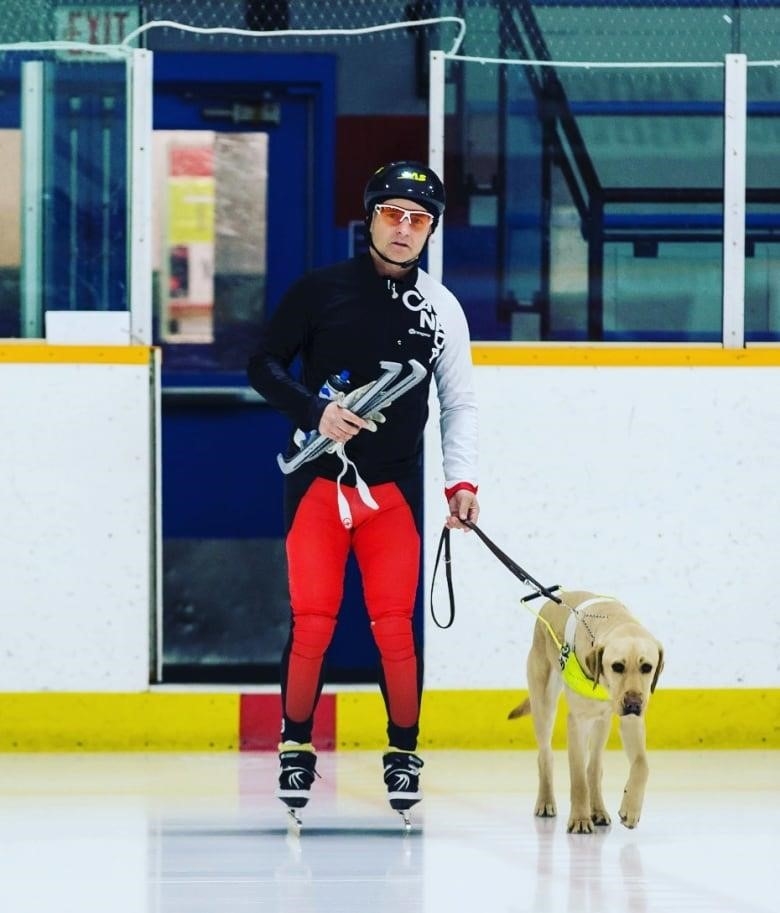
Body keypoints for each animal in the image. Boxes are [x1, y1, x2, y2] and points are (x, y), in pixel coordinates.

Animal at [506, 592, 664, 832]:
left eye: (647, 667)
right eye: (617, 666)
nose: (633, 704)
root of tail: (552, 598)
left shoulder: (630, 722)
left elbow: (641, 765)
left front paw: (631, 809)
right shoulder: (578, 722)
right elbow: (578, 777)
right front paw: (580, 819)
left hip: (601, 722)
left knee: (595, 766)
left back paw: (598, 810)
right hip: (544, 704)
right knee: (545, 755)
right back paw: (546, 801)